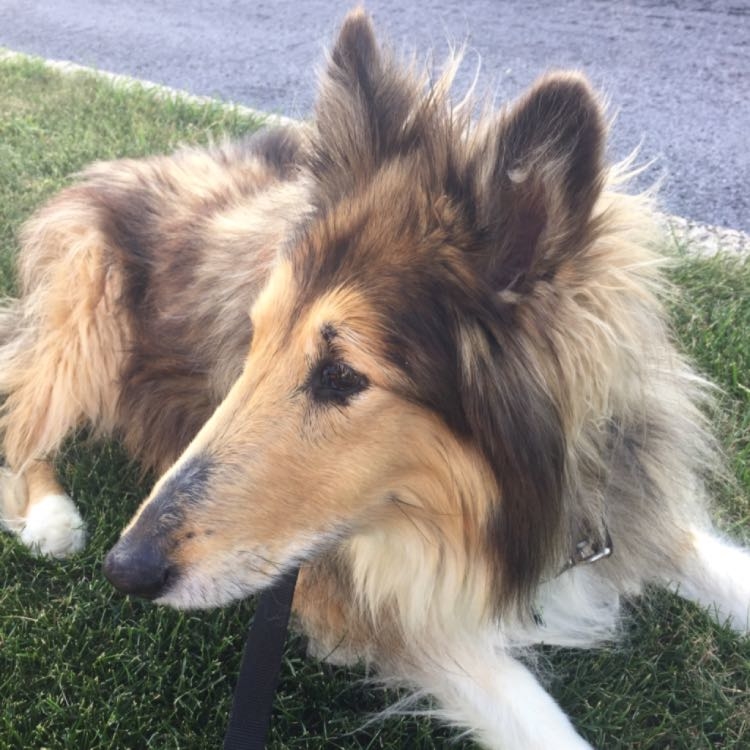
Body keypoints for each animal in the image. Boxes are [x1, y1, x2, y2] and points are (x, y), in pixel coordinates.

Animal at [1, 8, 750, 748]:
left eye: (341, 375)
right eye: (255, 341)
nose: (124, 569)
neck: (496, 509)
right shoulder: (378, 608)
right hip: (88, 308)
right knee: (19, 408)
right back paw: (50, 516)